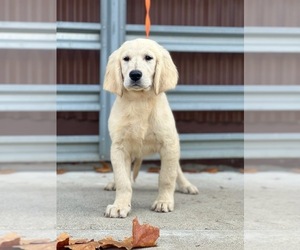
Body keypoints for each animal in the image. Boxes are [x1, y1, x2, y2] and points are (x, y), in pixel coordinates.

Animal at [103, 38, 199, 218]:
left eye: (148, 58)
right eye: (126, 59)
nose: (135, 74)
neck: (140, 101)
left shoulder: (169, 145)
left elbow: (167, 176)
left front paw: (164, 202)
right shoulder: (119, 147)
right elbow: (123, 180)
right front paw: (120, 205)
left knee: (177, 169)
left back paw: (186, 185)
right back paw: (112, 183)